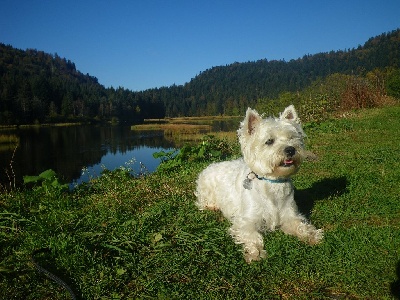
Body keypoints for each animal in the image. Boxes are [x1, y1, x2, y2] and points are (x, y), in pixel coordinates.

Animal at [195, 105, 324, 262]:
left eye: (292, 137)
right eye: (269, 141)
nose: (290, 149)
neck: (273, 183)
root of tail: (209, 166)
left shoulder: (289, 215)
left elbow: (299, 225)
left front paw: (311, 235)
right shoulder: (246, 220)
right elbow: (252, 235)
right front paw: (255, 252)